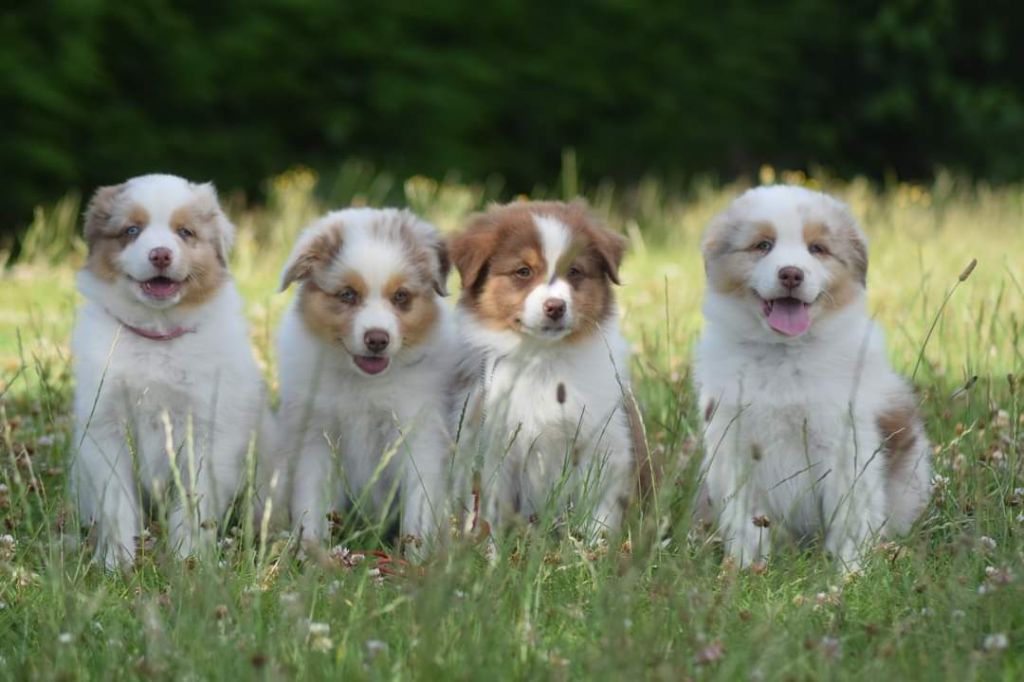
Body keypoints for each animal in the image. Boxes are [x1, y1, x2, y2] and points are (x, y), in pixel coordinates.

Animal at [71, 173, 264, 565]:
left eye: (185, 232)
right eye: (131, 230)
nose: (160, 254)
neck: (156, 334)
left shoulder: (206, 429)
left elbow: (193, 501)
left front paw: (188, 559)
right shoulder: (105, 426)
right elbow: (116, 502)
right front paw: (116, 561)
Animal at [274, 205, 458, 552]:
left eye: (400, 296)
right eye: (347, 295)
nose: (377, 339)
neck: (363, 383)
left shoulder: (419, 435)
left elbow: (419, 507)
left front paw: (418, 557)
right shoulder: (315, 436)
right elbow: (311, 501)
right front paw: (311, 551)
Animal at [450, 199, 638, 540]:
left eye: (574, 272)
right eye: (523, 271)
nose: (555, 307)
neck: (543, 358)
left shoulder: (604, 444)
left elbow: (600, 513)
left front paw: (596, 547)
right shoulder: (492, 448)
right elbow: (489, 510)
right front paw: (487, 550)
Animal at [692, 184, 933, 569]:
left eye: (817, 249)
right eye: (763, 245)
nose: (791, 274)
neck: (784, 354)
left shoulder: (846, 444)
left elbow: (850, 517)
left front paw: (850, 572)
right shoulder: (736, 447)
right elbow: (746, 523)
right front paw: (746, 570)